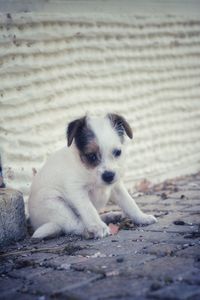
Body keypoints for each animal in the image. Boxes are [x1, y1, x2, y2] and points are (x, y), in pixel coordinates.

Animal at [28, 112, 157, 239]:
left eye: (118, 152)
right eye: (91, 156)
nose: (108, 176)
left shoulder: (117, 187)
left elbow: (129, 202)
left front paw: (142, 217)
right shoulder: (77, 191)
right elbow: (89, 210)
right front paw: (99, 227)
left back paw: (110, 216)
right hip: (56, 205)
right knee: (73, 225)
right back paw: (91, 230)